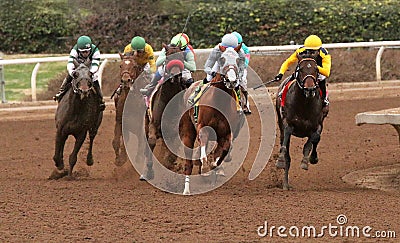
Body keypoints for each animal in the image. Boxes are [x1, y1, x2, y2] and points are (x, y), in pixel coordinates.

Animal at [140, 43, 187, 180]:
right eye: (167, 57)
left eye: (181, 57)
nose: (175, 76)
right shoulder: (153, 124)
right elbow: (151, 141)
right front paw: (149, 171)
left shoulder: (176, 130)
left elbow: (172, 153)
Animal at [179, 44, 242, 195]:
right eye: (222, 59)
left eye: (238, 60)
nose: (232, 80)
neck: (219, 102)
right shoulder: (203, 127)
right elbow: (203, 152)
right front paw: (206, 167)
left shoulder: (227, 134)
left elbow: (223, 152)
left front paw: (215, 166)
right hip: (188, 132)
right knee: (188, 163)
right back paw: (187, 189)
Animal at [276, 53, 326, 190]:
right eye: (301, 69)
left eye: (316, 69)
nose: (309, 89)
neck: (304, 103)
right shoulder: (287, 123)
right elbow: (286, 141)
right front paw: (280, 160)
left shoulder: (317, 126)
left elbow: (312, 141)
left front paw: (306, 161)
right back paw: (285, 184)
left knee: (316, 140)